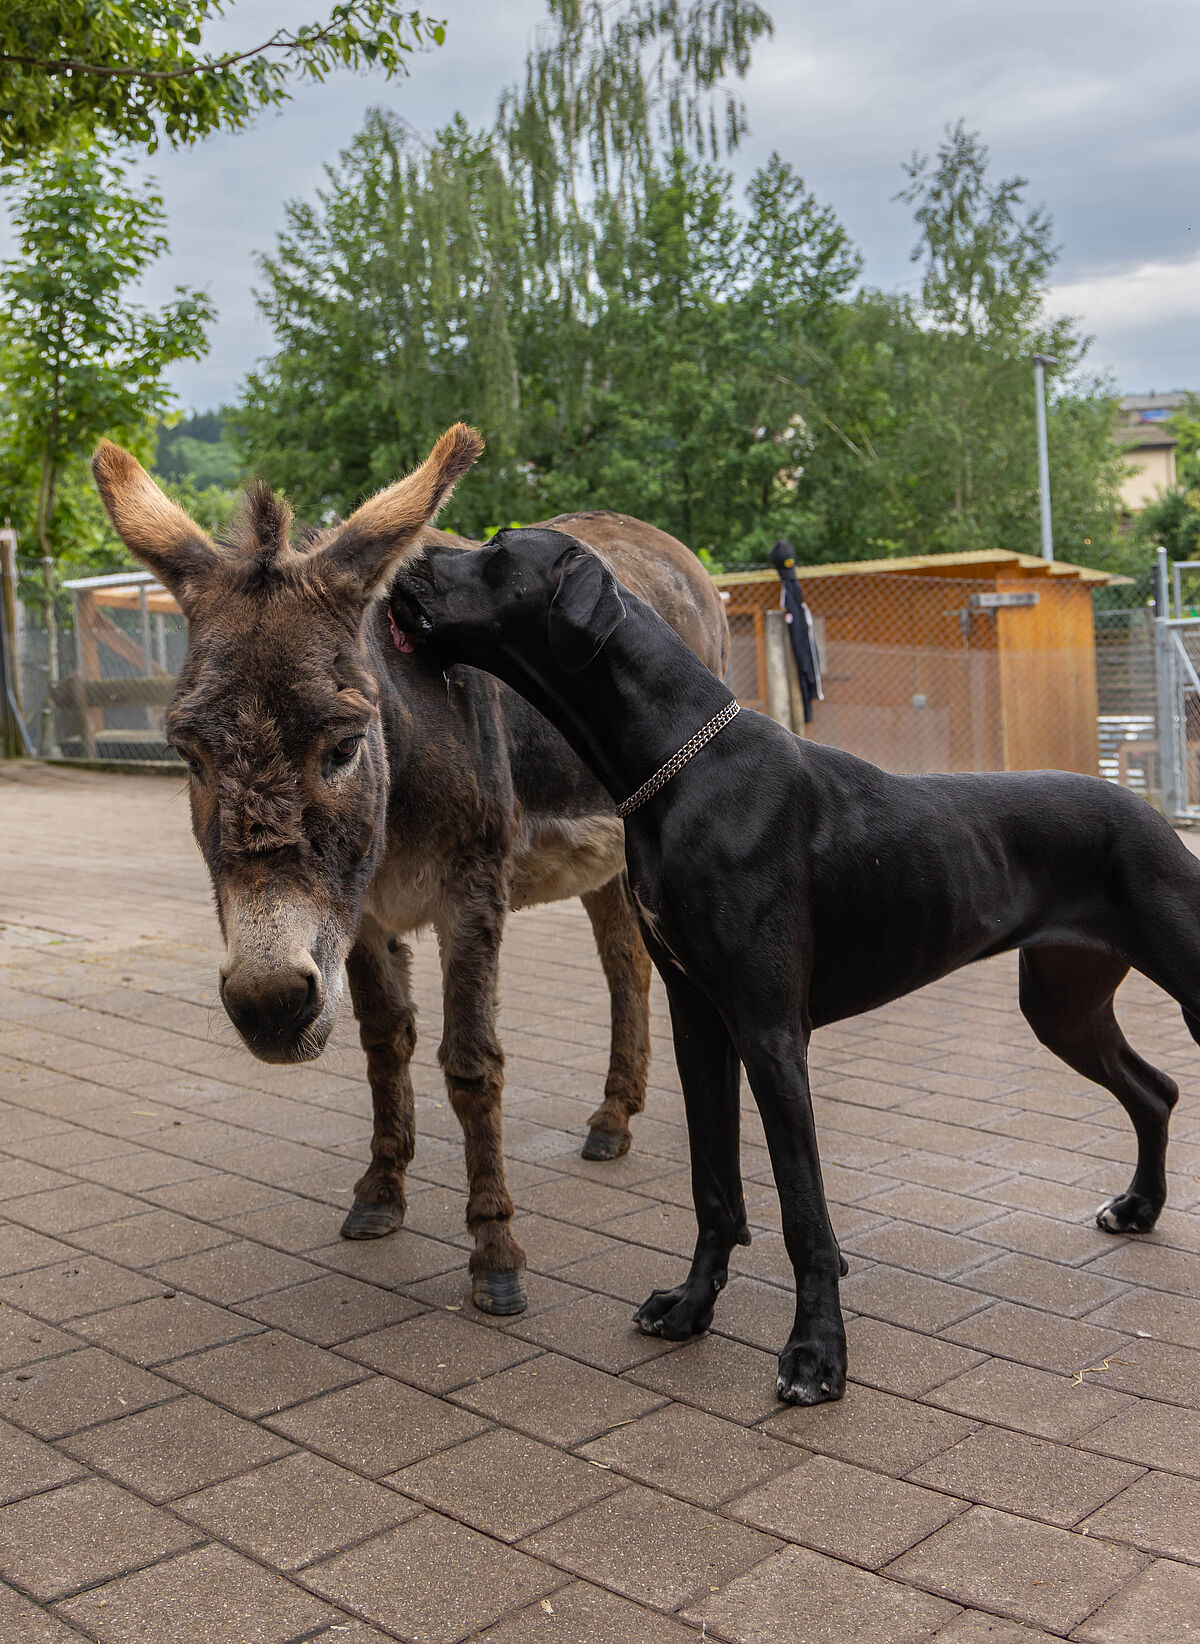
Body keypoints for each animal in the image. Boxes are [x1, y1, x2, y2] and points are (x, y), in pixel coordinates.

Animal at [387, 526, 1190, 1400]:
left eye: (498, 552)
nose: (406, 567)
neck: (680, 766)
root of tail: (1152, 814)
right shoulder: (699, 1020)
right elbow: (714, 1186)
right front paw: (691, 1306)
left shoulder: (769, 1029)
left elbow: (804, 1209)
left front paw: (816, 1354)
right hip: (1062, 1004)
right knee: (1154, 1089)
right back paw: (1139, 1208)